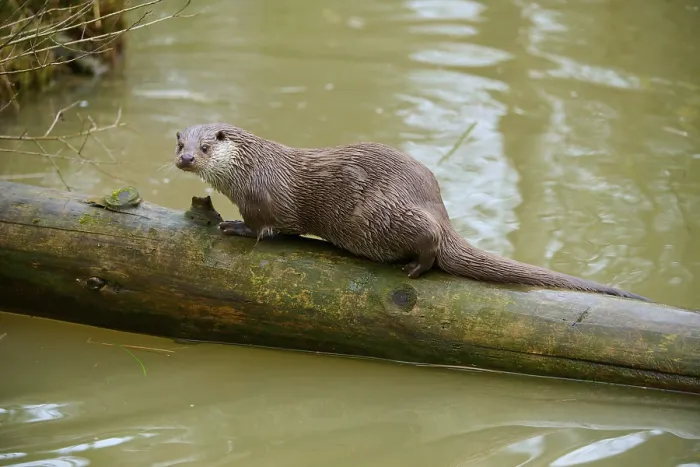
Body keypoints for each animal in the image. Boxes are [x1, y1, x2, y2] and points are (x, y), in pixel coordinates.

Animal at [173, 123, 650, 302]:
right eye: (179, 142)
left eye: (207, 146)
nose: (186, 160)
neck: (251, 167)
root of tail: (439, 209)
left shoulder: (261, 197)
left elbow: (261, 228)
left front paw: (232, 227)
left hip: (385, 215)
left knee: (431, 243)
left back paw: (415, 268)